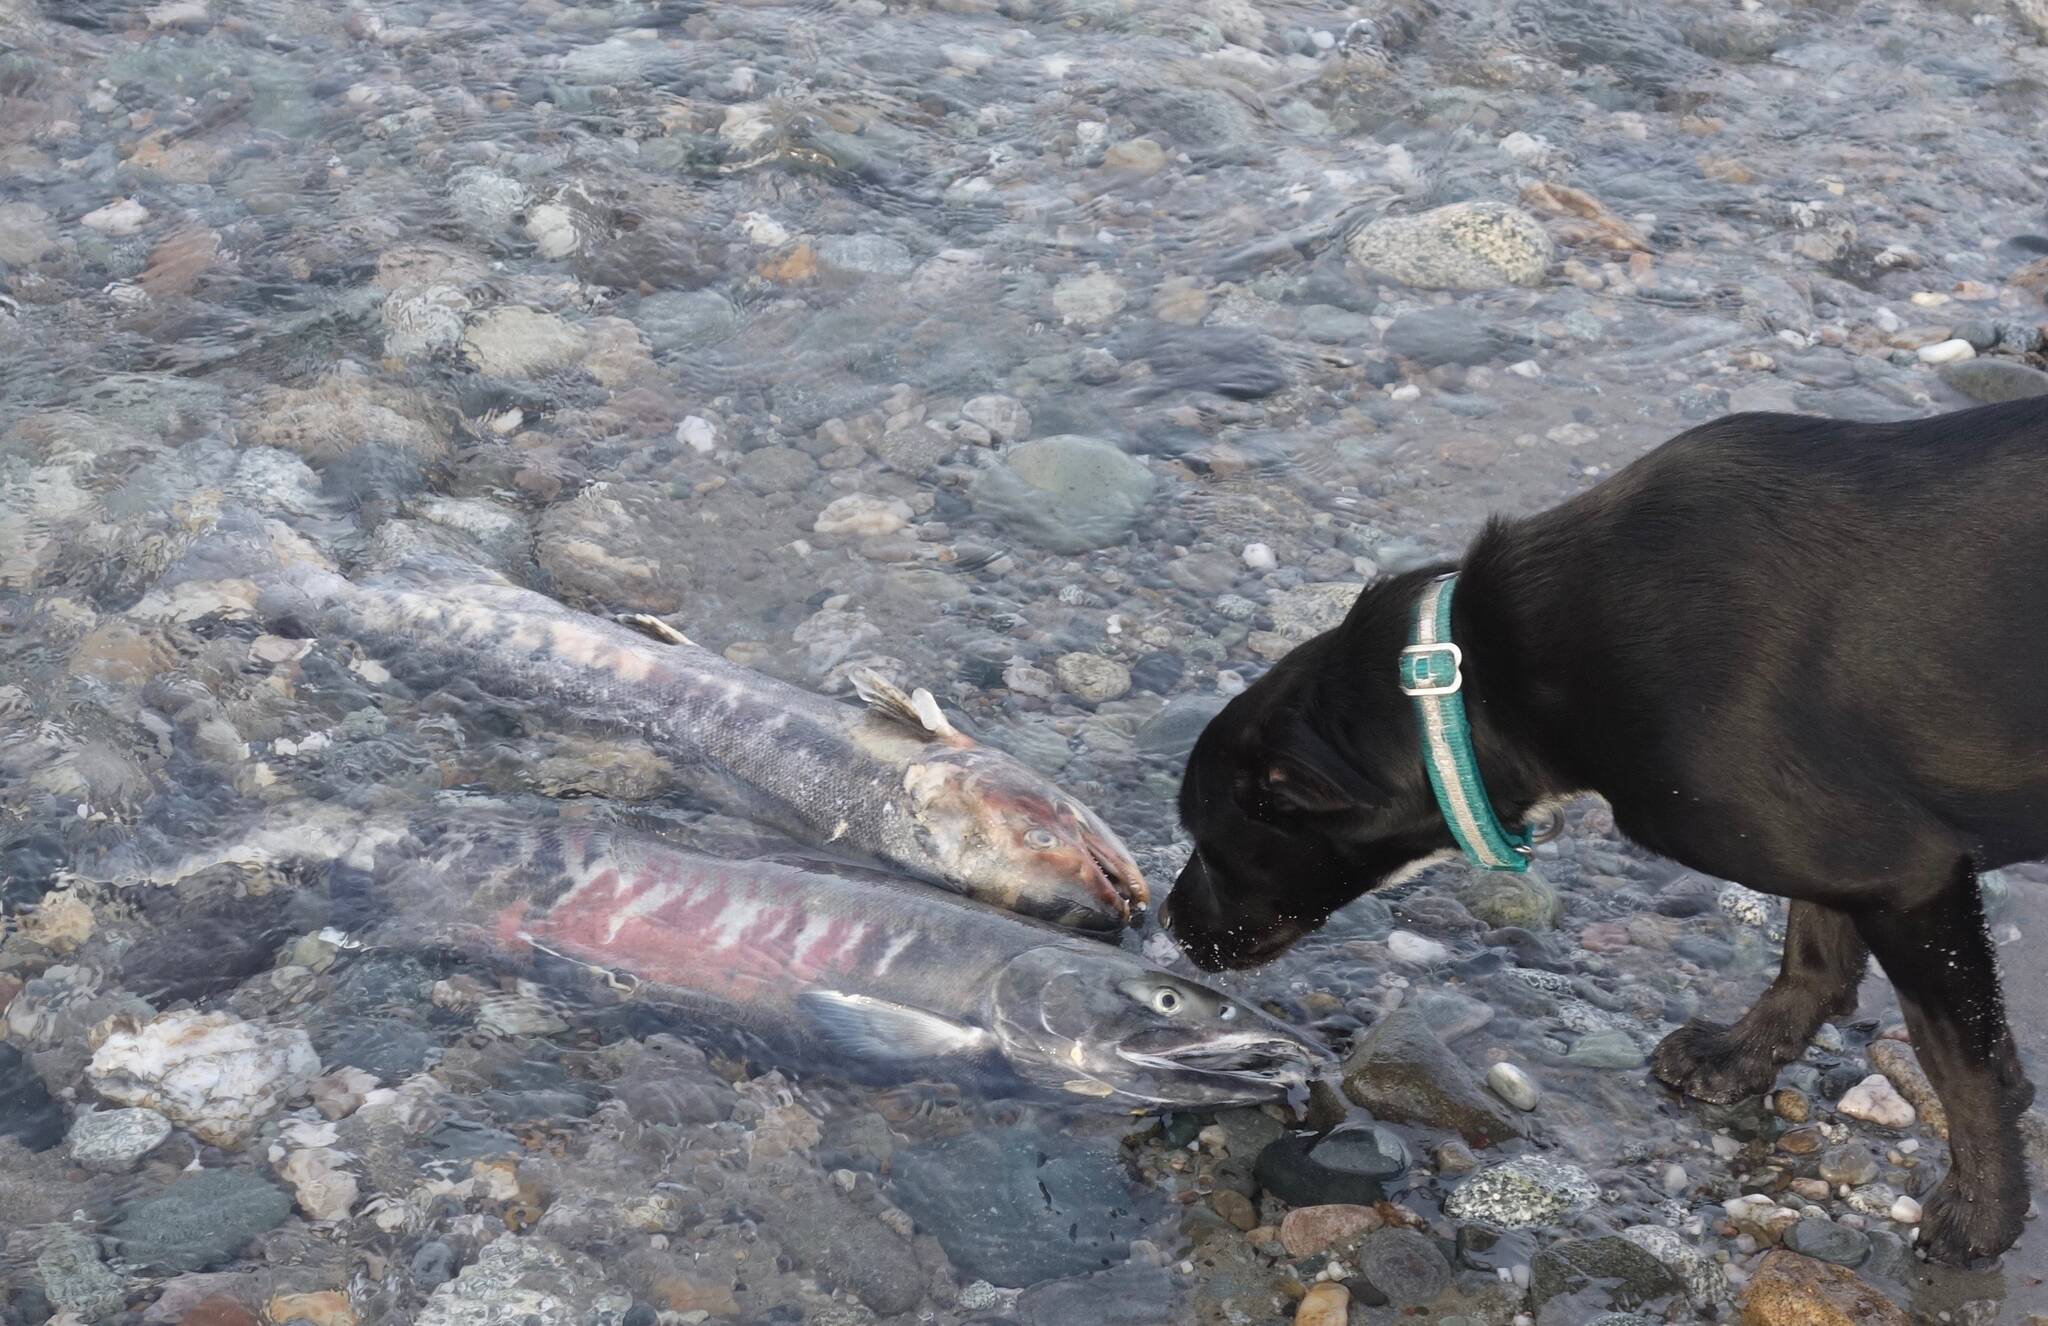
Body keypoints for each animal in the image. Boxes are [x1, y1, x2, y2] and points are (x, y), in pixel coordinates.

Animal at [1171, 397, 2048, 1262]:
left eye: (1211, 843)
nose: (1171, 927)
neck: (1480, 676)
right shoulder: (1840, 850)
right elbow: (1814, 962)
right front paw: (1738, 1056)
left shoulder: (1908, 873)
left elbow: (1963, 1065)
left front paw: (1984, 1215)